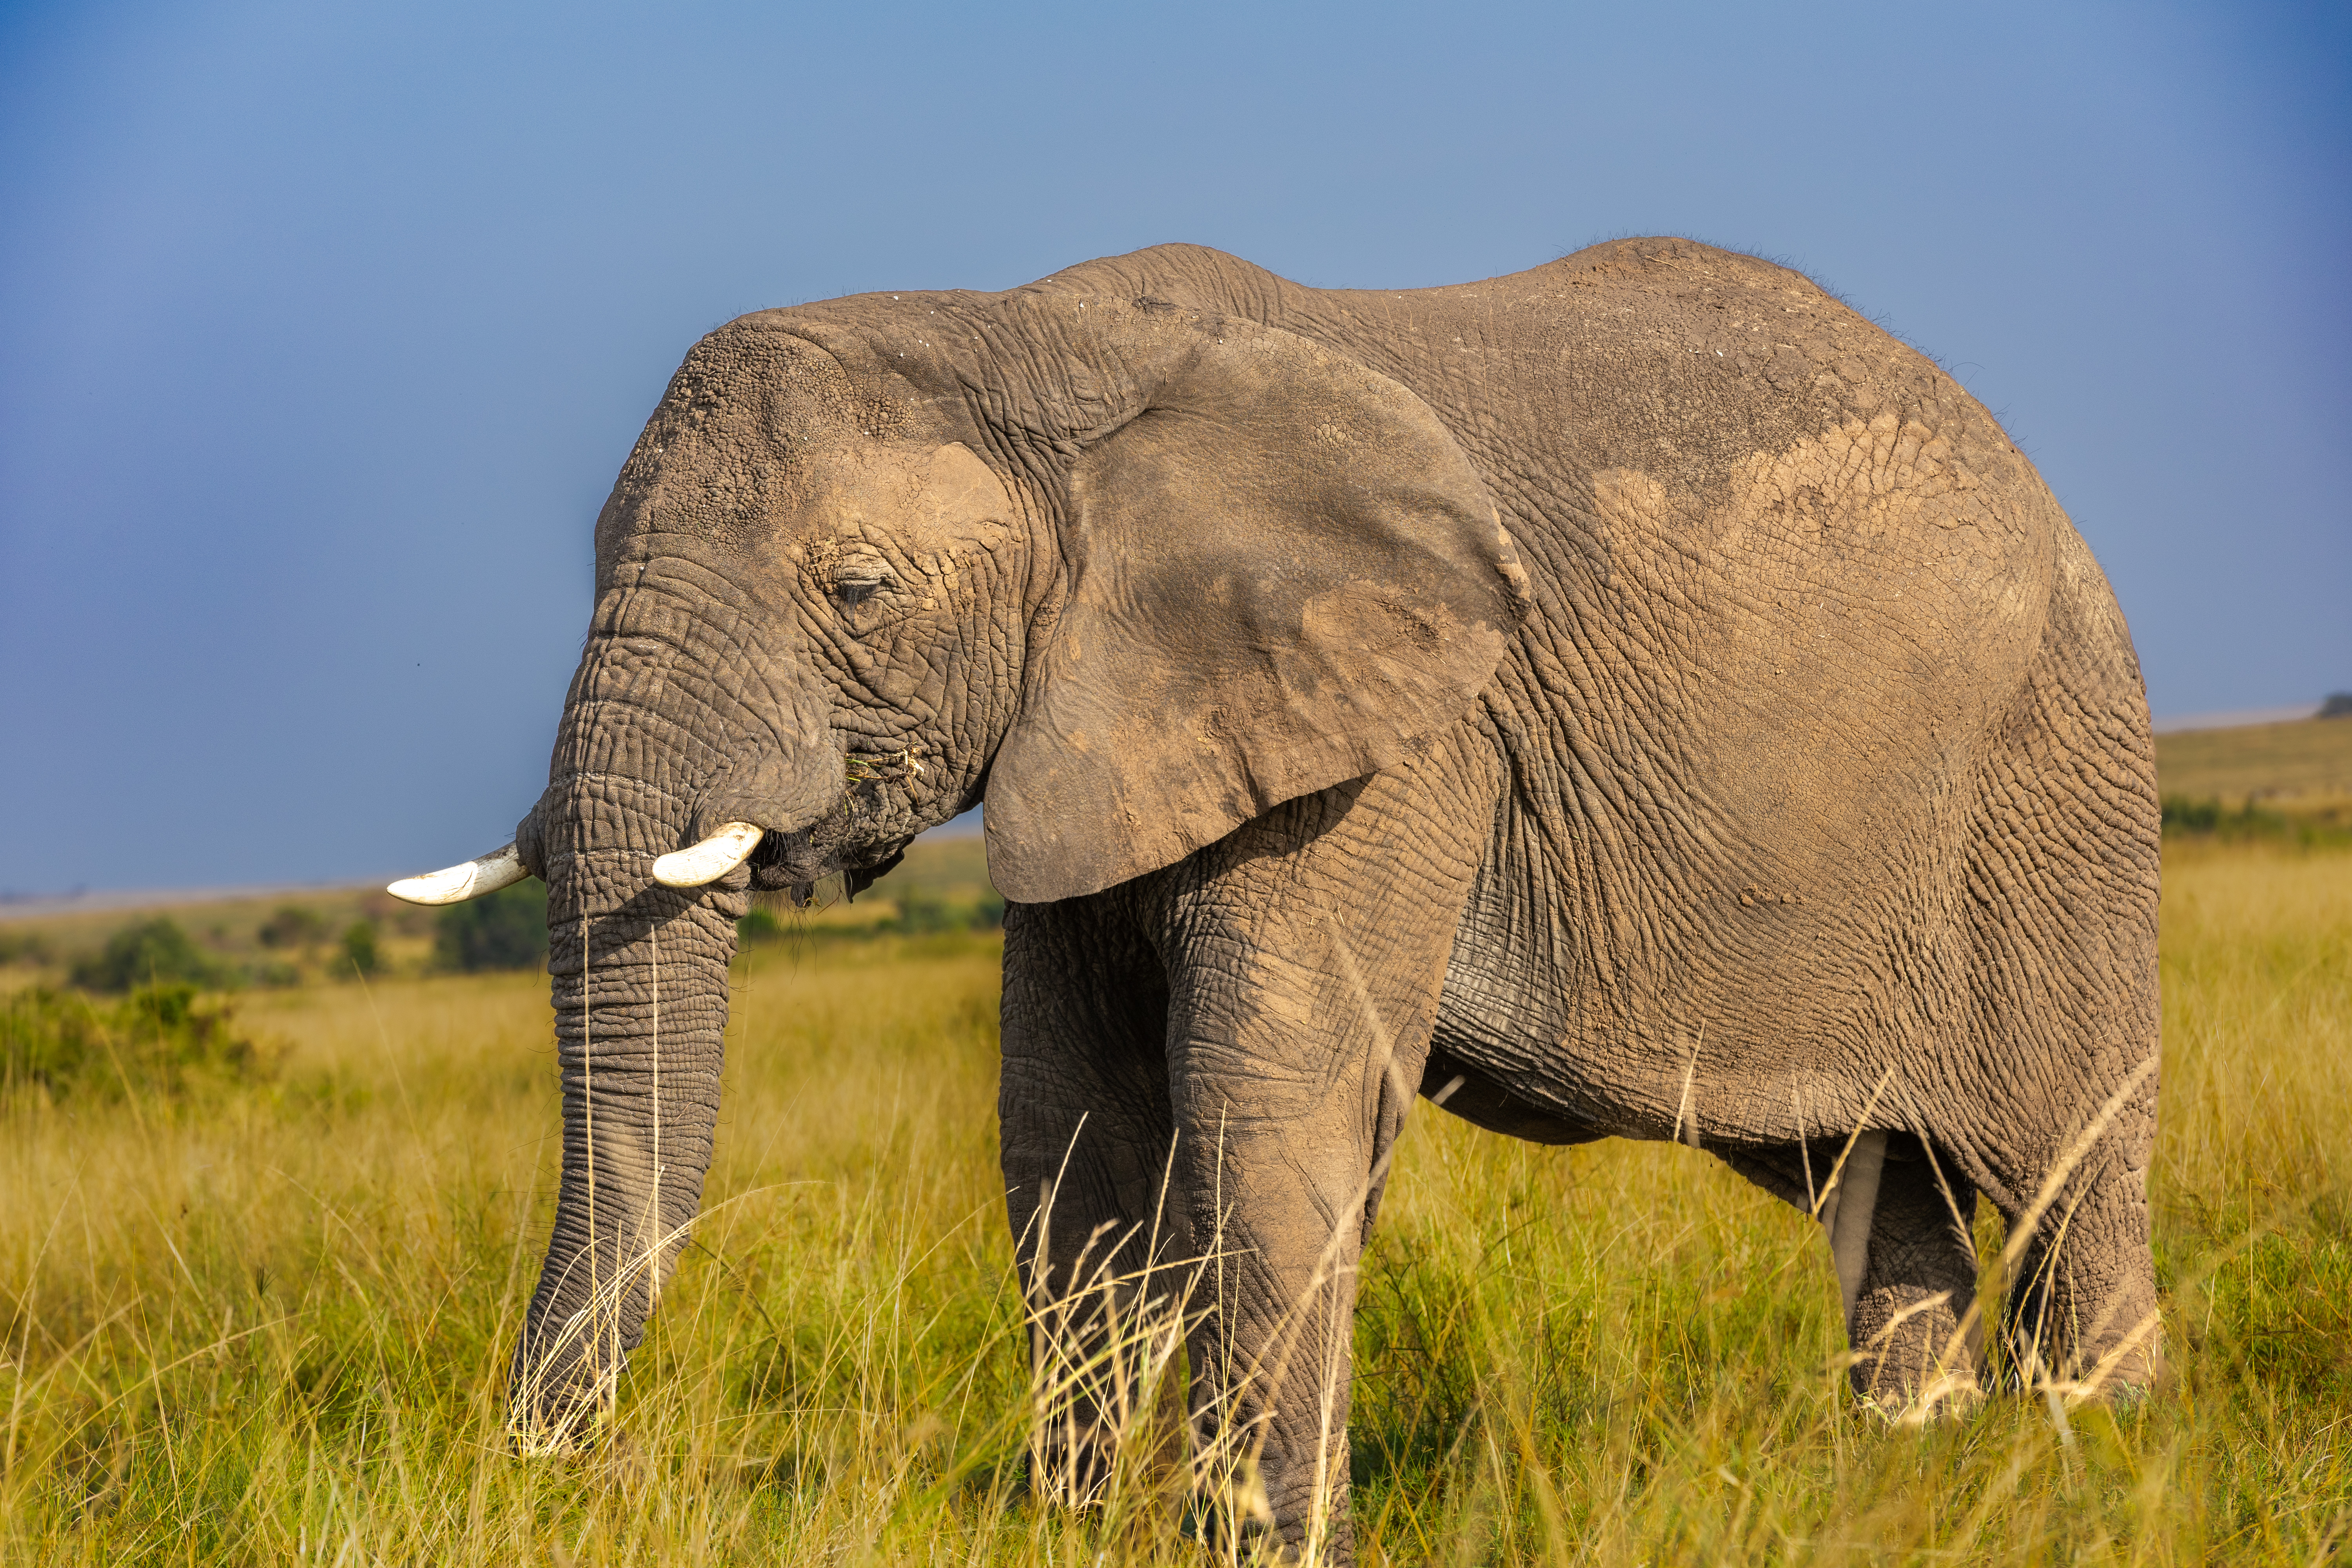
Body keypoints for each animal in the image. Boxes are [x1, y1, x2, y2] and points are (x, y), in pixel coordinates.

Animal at [392, 237, 2162, 1561]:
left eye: (861, 591)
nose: (552, 1476)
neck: (1027, 334)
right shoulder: (1097, 721)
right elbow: (1072, 1121)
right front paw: (1067, 1533)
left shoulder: (1401, 736)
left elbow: (1267, 1099)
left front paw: (1255, 1545)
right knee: (1884, 1191)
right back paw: (1924, 1481)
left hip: (2057, 788)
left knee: (2070, 1176)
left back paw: (2115, 1475)